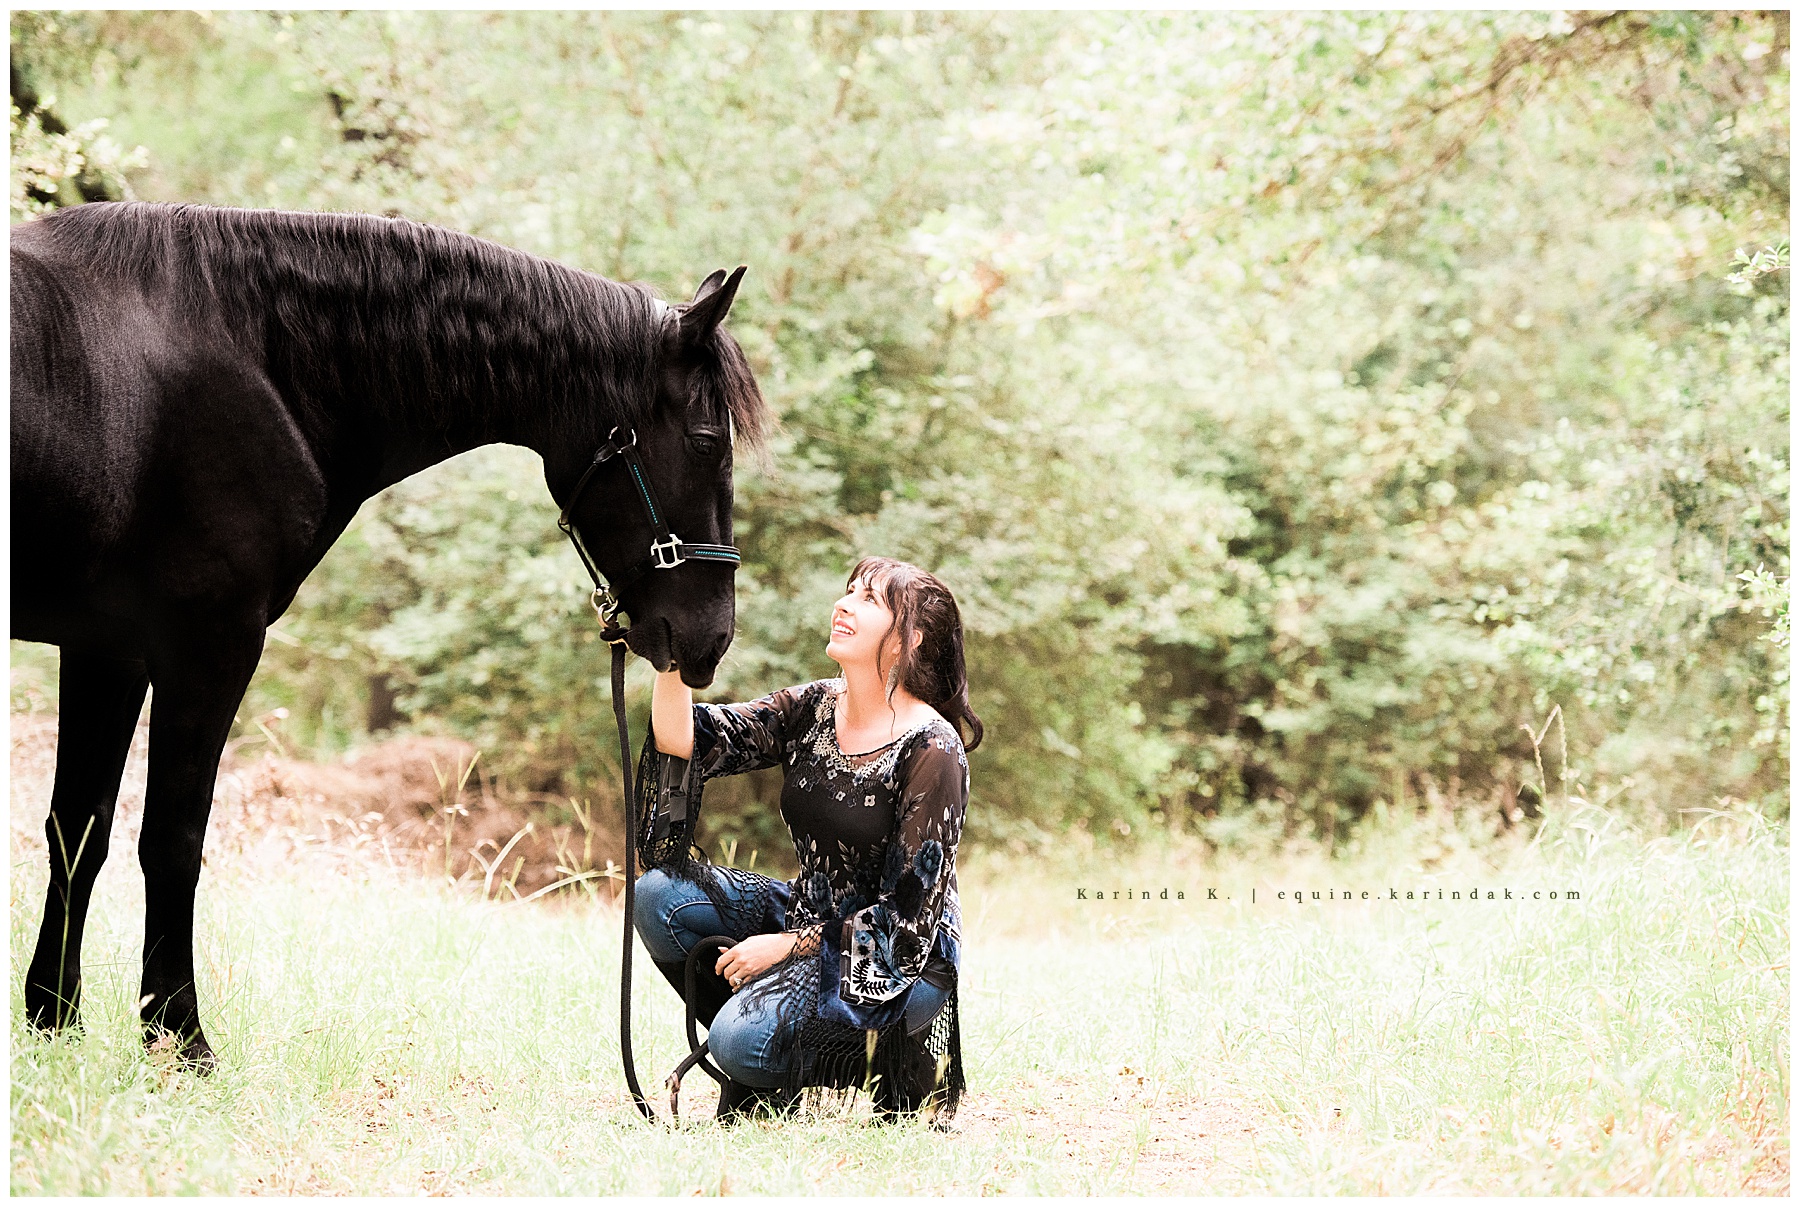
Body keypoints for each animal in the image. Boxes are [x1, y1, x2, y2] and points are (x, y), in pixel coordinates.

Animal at [11, 201, 768, 1067]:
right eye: (707, 441)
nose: (714, 635)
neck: (255, 355)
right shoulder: (207, 642)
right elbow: (171, 838)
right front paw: (181, 1037)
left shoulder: (107, 648)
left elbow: (78, 830)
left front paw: (52, 1022)